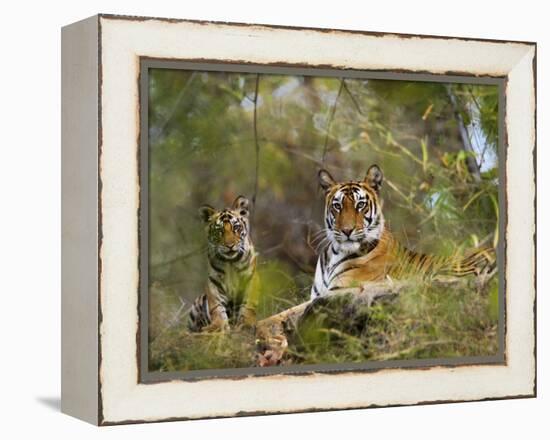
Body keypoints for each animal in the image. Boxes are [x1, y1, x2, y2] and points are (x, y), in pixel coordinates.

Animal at [188, 197, 260, 334]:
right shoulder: (214, 283)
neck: (230, 262)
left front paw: (247, 323)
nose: (230, 245)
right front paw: (217, 326)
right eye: (219, 231)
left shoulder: (250, 279)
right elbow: (216, 307)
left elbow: (248, 304)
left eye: (236, 227)